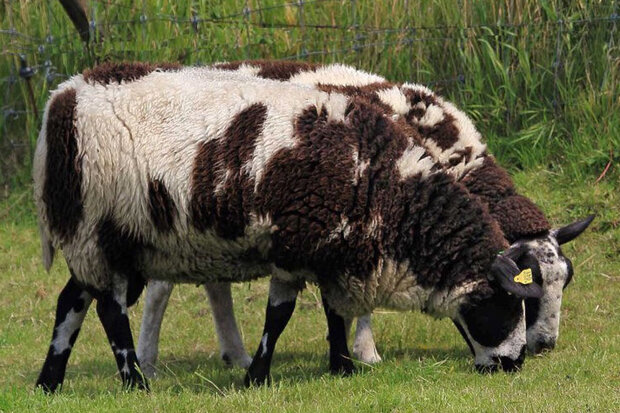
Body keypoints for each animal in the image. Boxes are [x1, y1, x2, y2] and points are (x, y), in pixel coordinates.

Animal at [35, 62, 548, 392]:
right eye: (505, 303)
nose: (517, 362)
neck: (382, 186)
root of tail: (63, 98)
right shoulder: (296, 241)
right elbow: (279, 317)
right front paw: (257, 378)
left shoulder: (333, 246)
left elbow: (334, 312)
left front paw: (342, 367)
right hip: (97, 230)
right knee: (109, 309)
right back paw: (135, 381)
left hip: (116, 242)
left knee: (72, 300)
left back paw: (50, 382)